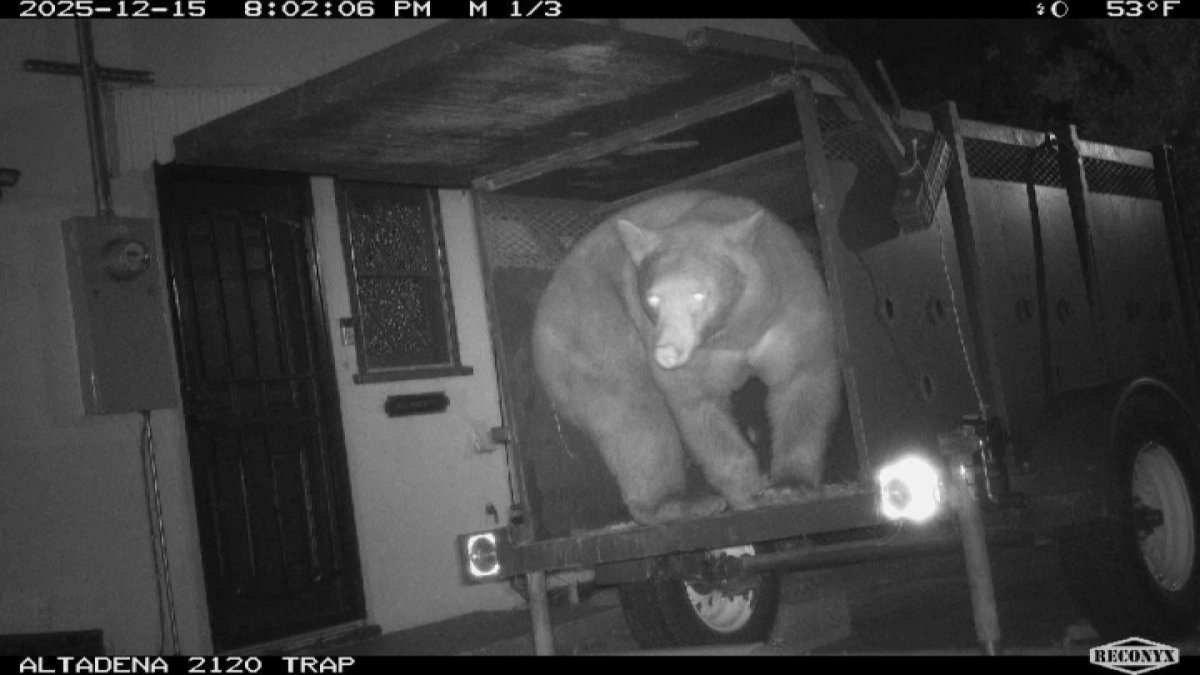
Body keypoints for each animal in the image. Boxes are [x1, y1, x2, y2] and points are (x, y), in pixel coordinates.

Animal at [531, 191, 841, 526]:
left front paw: (789, 486)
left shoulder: (789, 308)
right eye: (654, 298)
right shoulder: (693, 358)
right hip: (592, 327)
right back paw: (681, 504)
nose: (666, 351)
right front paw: (746, 491)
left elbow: (802, 381)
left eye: (699, 294)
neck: (733, 332)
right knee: (633, 413)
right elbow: (699, 408)